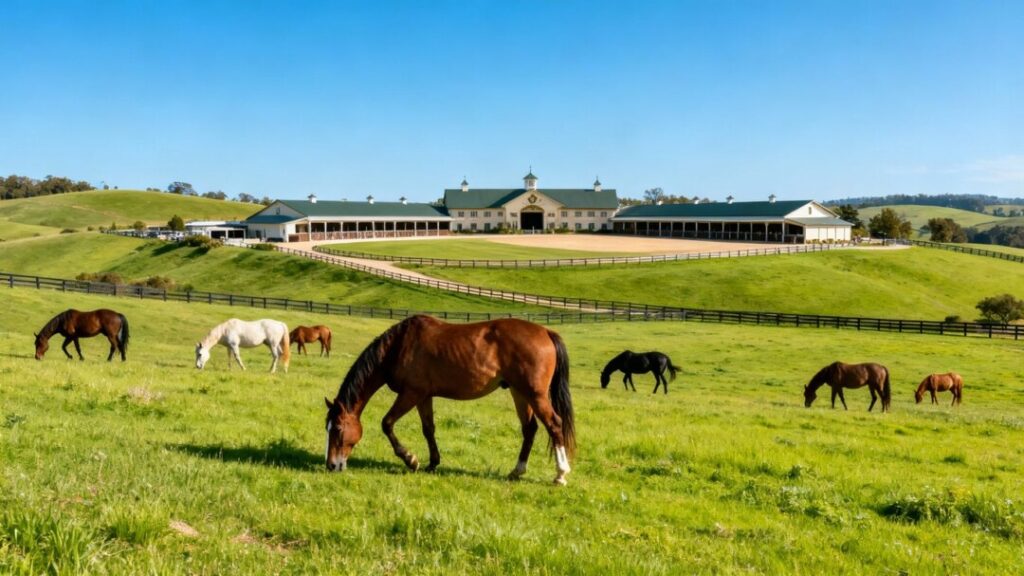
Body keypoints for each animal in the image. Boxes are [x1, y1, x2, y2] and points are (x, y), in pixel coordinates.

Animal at [324, 315, 576, 485]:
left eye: (338, 429)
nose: (331, 465)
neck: (399, 346)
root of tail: (546, 332)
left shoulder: (411, 393)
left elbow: (387, 423)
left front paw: (410, 459)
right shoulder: (423, 396)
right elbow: (428, 429)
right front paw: (432, 462)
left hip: (535, 395)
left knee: (554, 424)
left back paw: (560, 474)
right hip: (519, 392)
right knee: (530, 429)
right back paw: (517, 471)